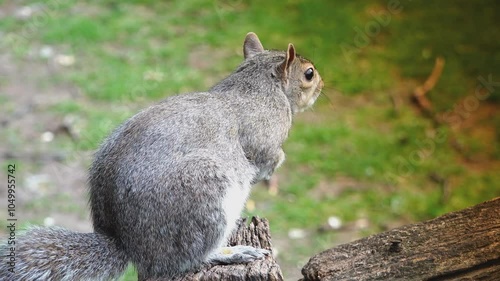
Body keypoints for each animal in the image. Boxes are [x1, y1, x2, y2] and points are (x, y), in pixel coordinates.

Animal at [0, 31, 324, 278]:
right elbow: (267, 158)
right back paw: (230, 252)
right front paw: (274, 166)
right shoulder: (265, 135)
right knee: (187, 258)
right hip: (203, 195)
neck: (259, 83)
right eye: (308, 74)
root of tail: (128, 244)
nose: (322, 85)